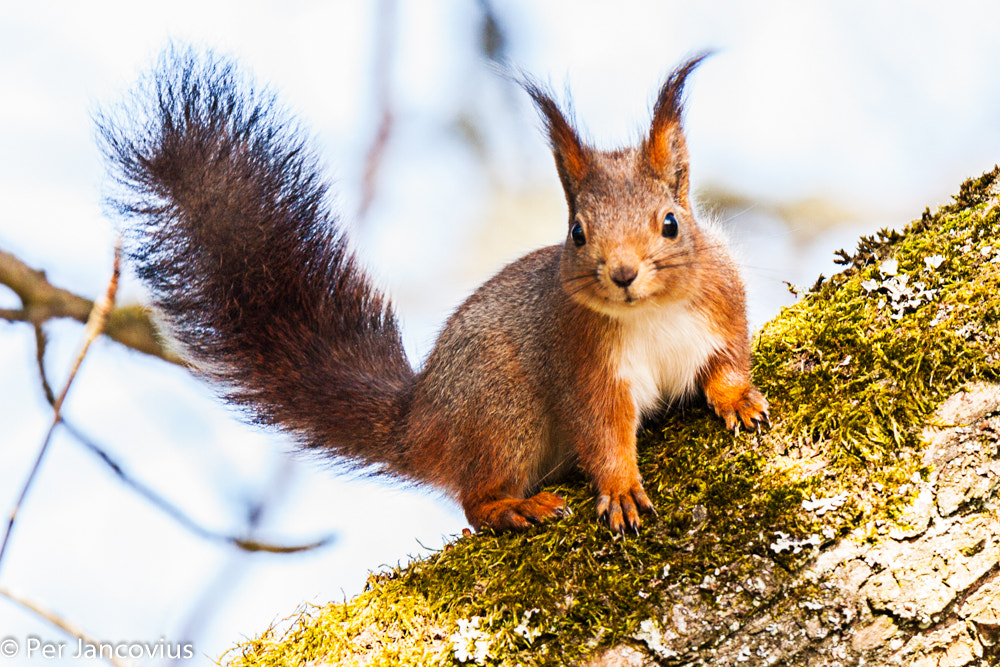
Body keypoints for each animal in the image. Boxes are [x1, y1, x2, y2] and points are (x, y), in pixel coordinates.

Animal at [97, 47, 768, 534]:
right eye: (577, 233)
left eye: (671, 224)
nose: (623, 273)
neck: (650, 313)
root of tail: (420, 421)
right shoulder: (583, 362)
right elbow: (601, 430)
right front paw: (621, 487)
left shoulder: (721, 305)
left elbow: (730, 357)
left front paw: (737, 398)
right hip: (503, 413)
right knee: (474, 500)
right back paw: (510, 507)